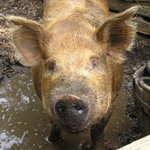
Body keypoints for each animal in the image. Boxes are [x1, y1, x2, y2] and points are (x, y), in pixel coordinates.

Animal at [7, 0, 138, 149]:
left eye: (95, 62)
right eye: (51, 65)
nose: (69, 98)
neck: (74, 31)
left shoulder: (110, 105)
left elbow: (97, 134)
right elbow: (55, 127)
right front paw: (51, 141)